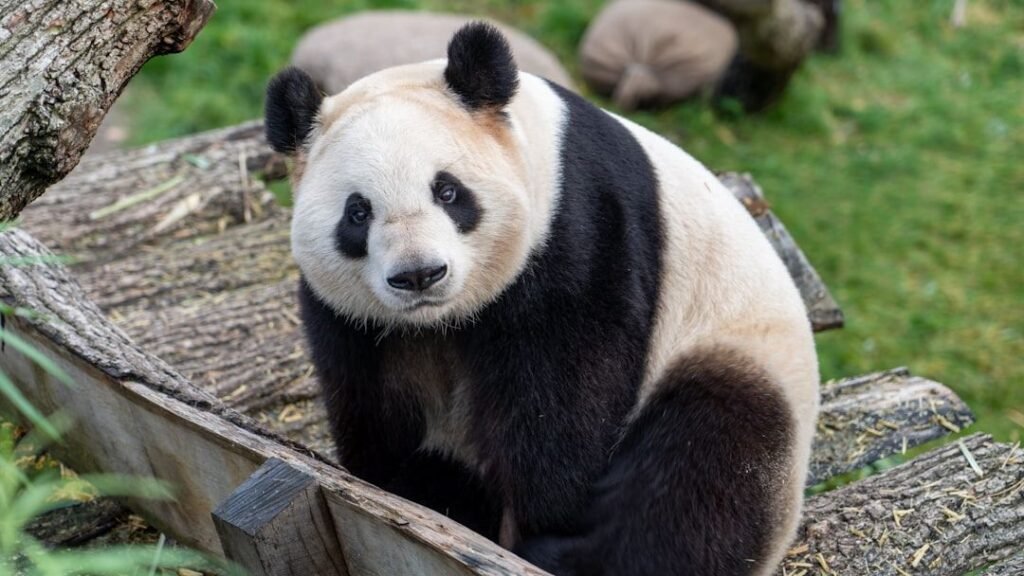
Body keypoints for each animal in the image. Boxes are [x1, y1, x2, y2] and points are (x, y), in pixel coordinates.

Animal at [265, 22, 819, 576]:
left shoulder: (578, 228)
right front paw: (409, 488)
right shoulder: (351, 318)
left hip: (737, 352)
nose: (419, 274)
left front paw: (539, 517)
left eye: (447, 191)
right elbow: (372, 402)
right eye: (358, 212)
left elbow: (563, 394)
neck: (443, 320)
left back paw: (572, 554)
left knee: (703, 464)